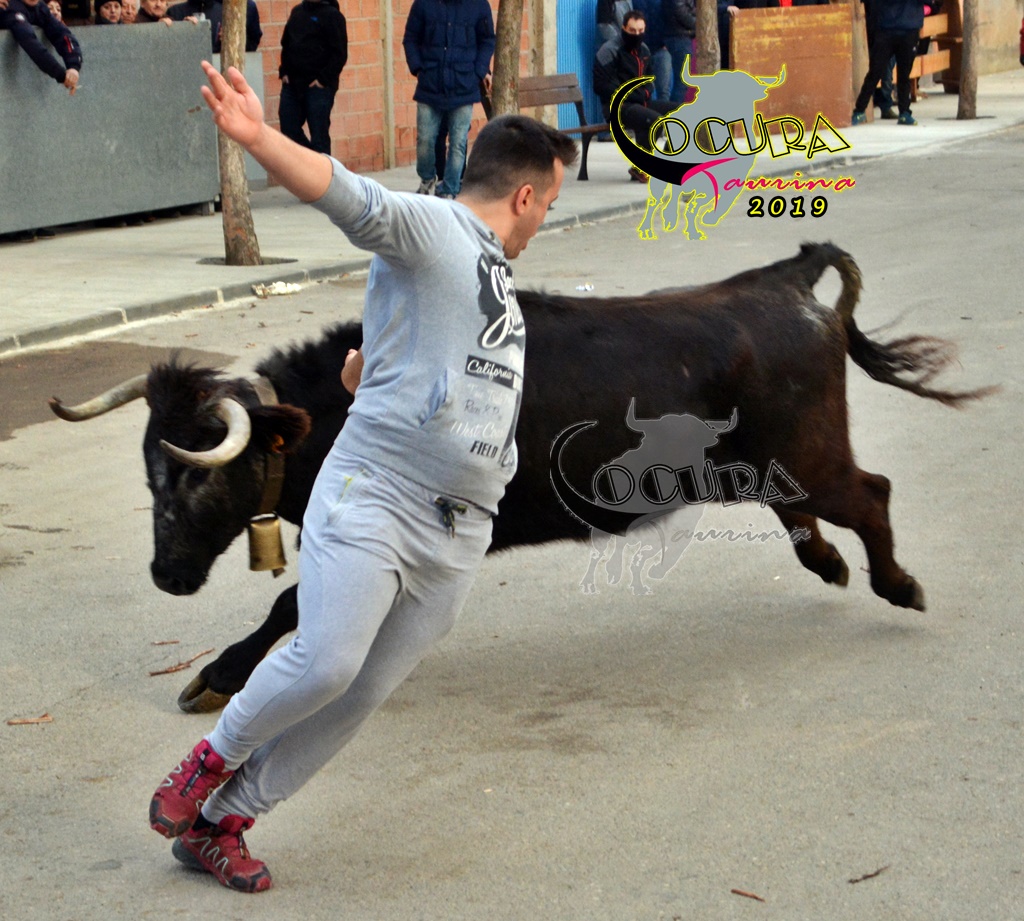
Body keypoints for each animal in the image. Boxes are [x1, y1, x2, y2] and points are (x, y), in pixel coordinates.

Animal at [50, 243, 990, 714]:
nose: (166, 576)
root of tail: (782, 284)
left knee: (871, 494)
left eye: (197, 481)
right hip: (761, 462)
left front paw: (217, 674)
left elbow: (290, 604)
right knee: (806, 507)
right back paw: (832, 566)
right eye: (148, 477)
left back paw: (897, 584)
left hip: (810, 454)